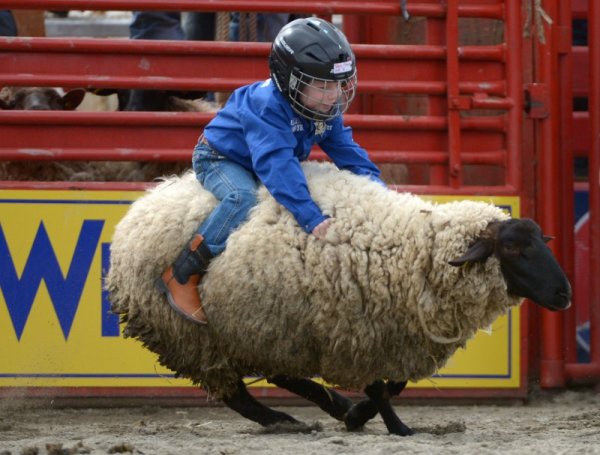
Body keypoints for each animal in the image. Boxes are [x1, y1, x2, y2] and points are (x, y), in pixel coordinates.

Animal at [105, 160, 568, 434]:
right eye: (513, 247)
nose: (564, 294)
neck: (414, 248)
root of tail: (140, 209)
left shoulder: (388, 332)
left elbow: (394, 383)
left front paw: (360, 414)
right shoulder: (359, 328)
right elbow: (381, 387)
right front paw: (391, 425)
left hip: (260, 332)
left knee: (274, 376)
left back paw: (326, 407)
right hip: (202, 336)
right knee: (238, 391)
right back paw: (286, 420)